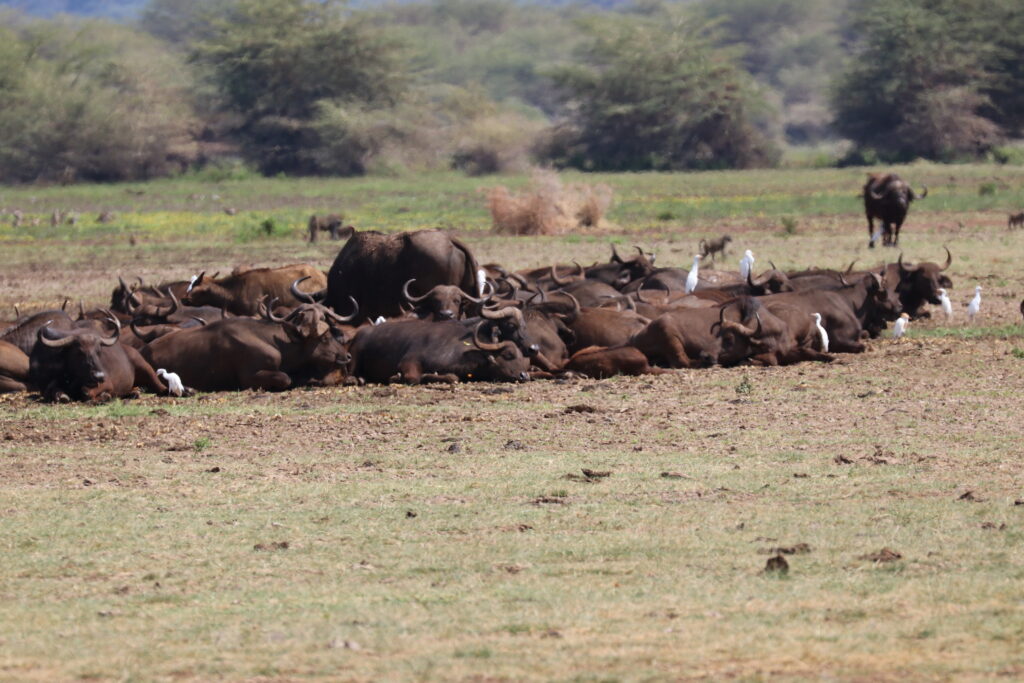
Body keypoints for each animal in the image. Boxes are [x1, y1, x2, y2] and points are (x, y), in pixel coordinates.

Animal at [350, 321, 532, 385]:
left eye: (523, 357)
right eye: (508, 355)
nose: (524, 375)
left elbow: (453, 377)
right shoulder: (409, 361)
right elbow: (413, 377)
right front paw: (396, 377)